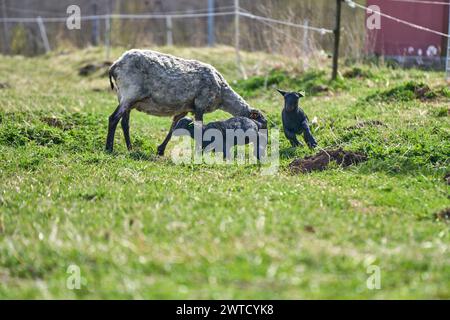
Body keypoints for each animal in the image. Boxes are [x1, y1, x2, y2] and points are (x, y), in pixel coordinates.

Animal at [107, 48, 266, 155]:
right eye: (262, 122)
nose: (264, 141)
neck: (222, 94)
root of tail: (115, 65)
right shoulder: (200, 104)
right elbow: (198, 127)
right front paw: (199, 151)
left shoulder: (185, 109)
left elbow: (174, 127)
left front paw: (160, 150)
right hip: (130, 94)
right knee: (113, 118)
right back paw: (109, 148)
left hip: (125, 97)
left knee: (125, 123)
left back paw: (130, 148)